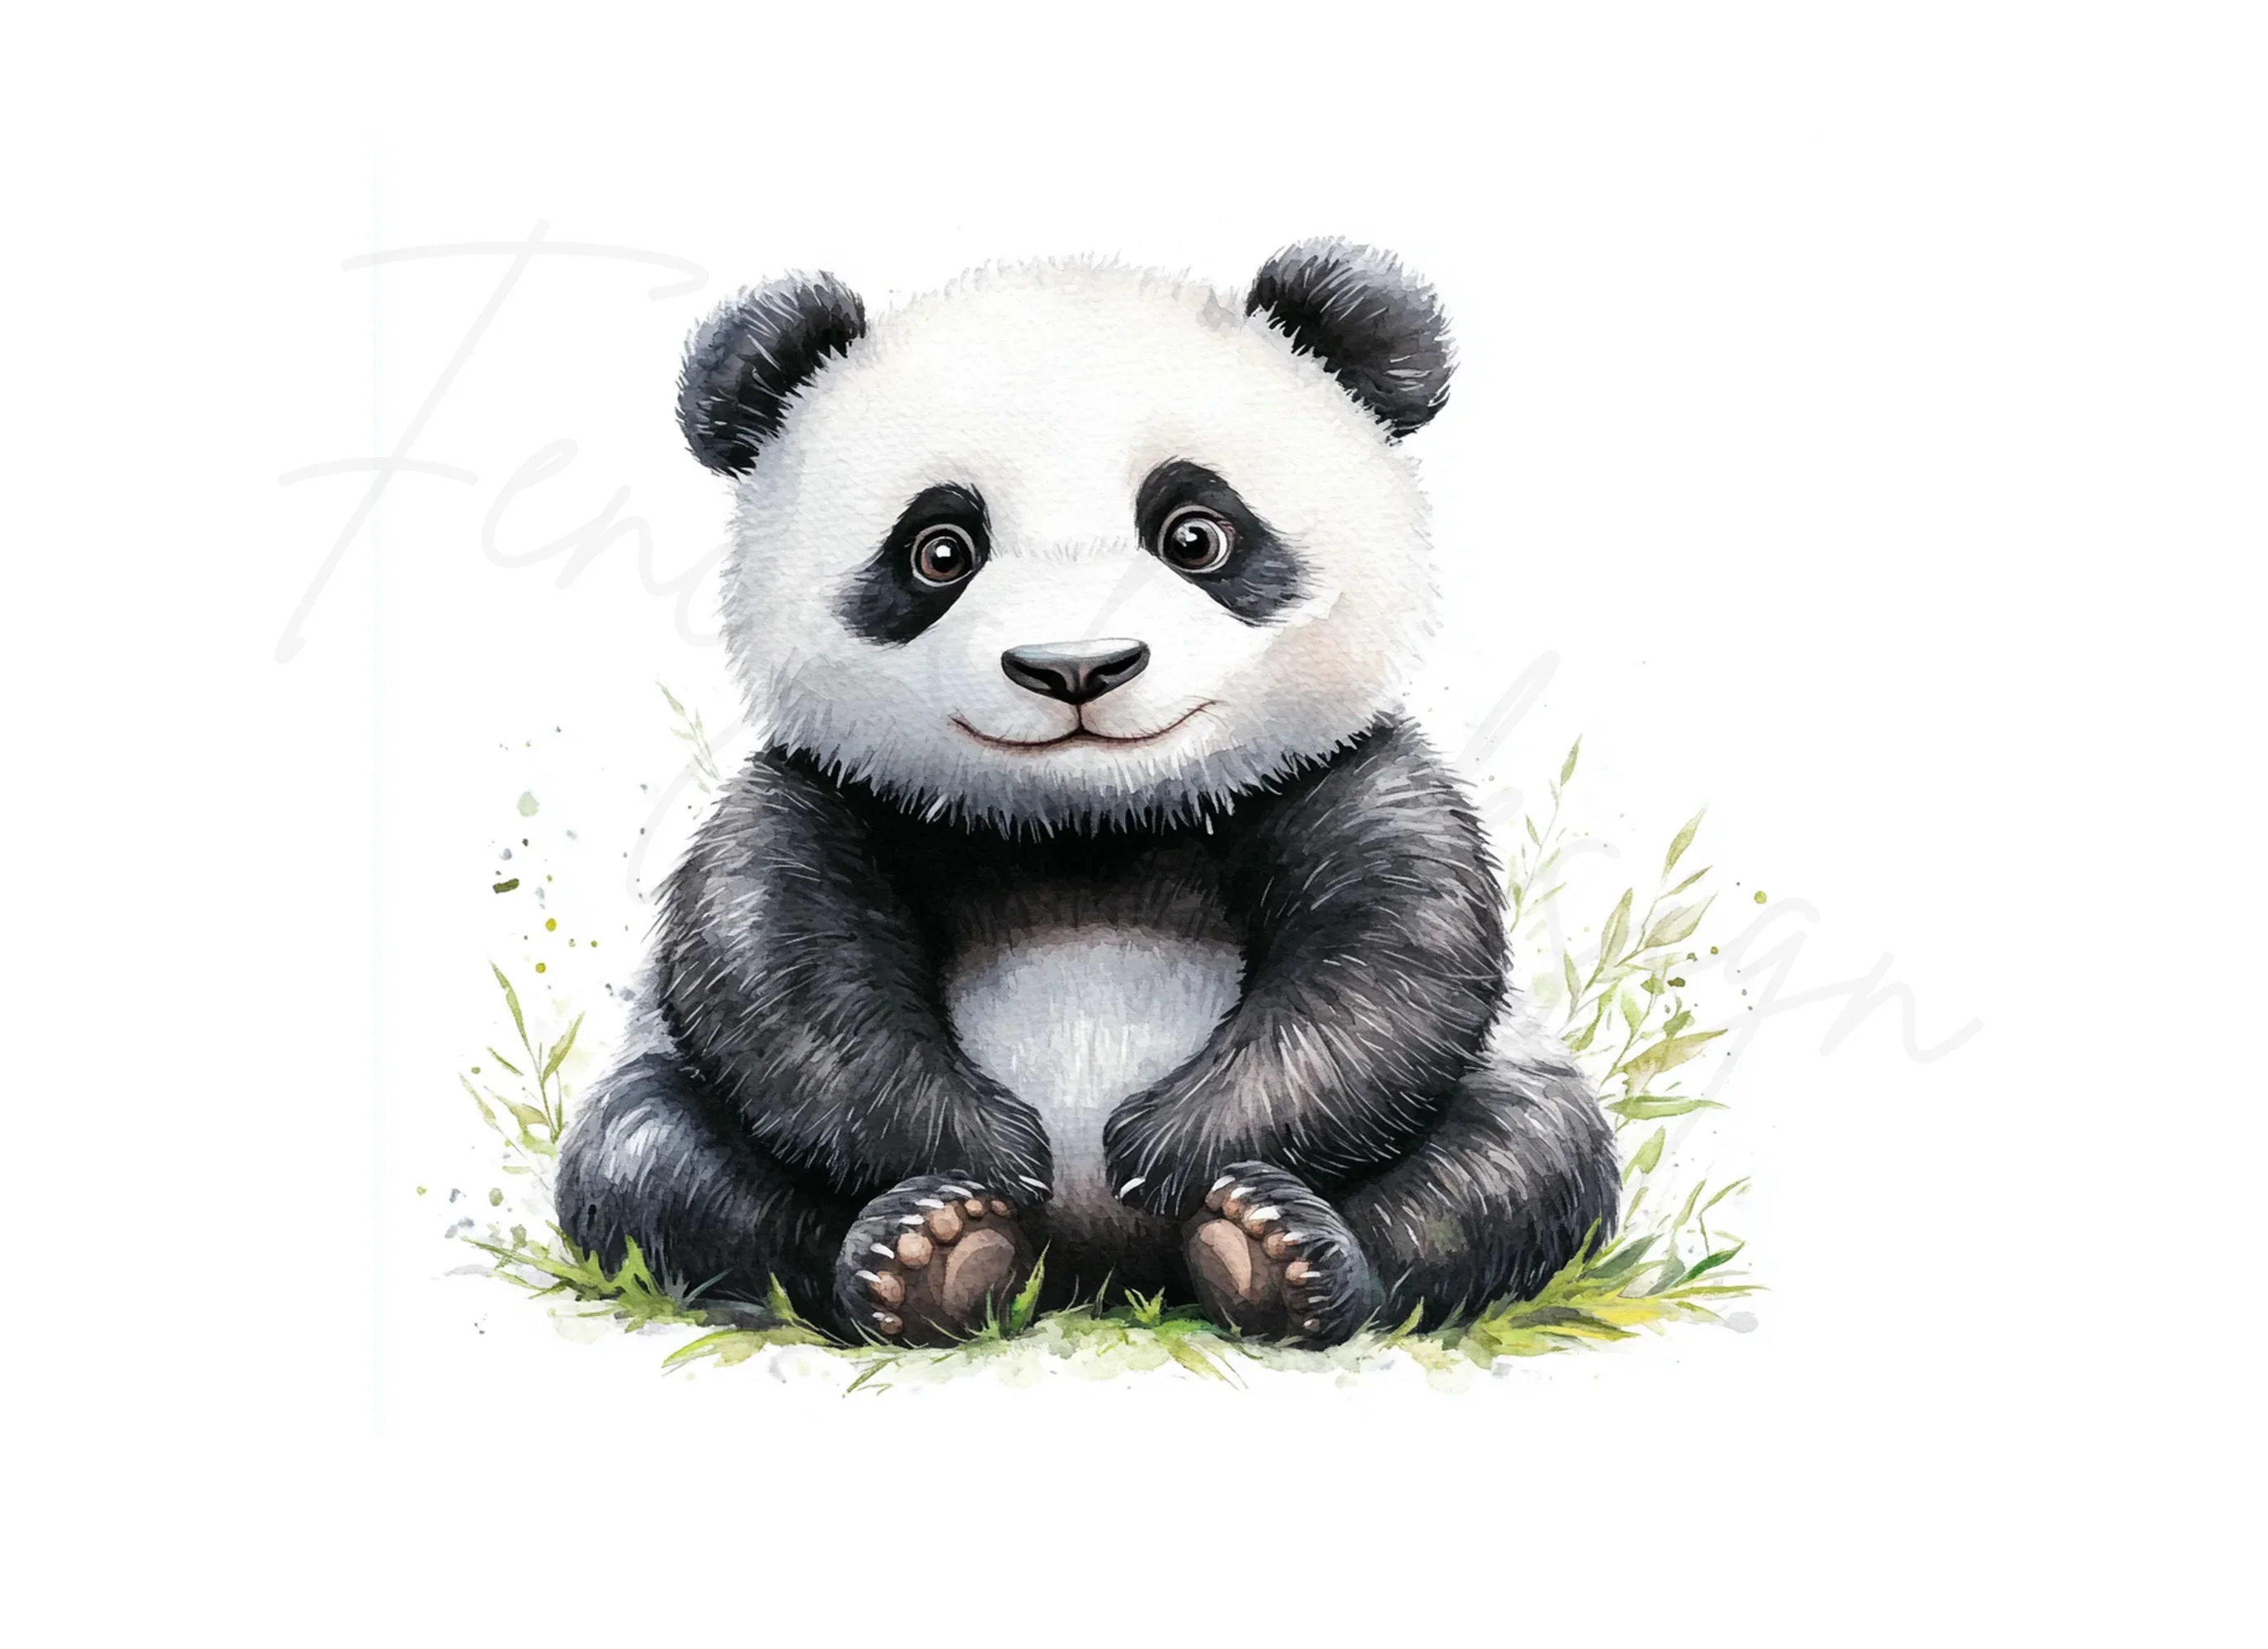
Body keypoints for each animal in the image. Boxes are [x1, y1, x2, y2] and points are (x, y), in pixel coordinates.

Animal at [556, 239, 1619, 1348]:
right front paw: (986, 1151)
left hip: (1510, 1082)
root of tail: (1094, 1273)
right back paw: (936, 1252)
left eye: (1195, 534)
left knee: (1517, 1162)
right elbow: (777, 967)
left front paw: (1168, 1144)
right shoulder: (833, 791)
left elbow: (1389, 961)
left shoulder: (1338, 774)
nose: (1076, 666)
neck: (1086, 823)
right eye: (939, 549)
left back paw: (1272, 1252)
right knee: (655, 1161)